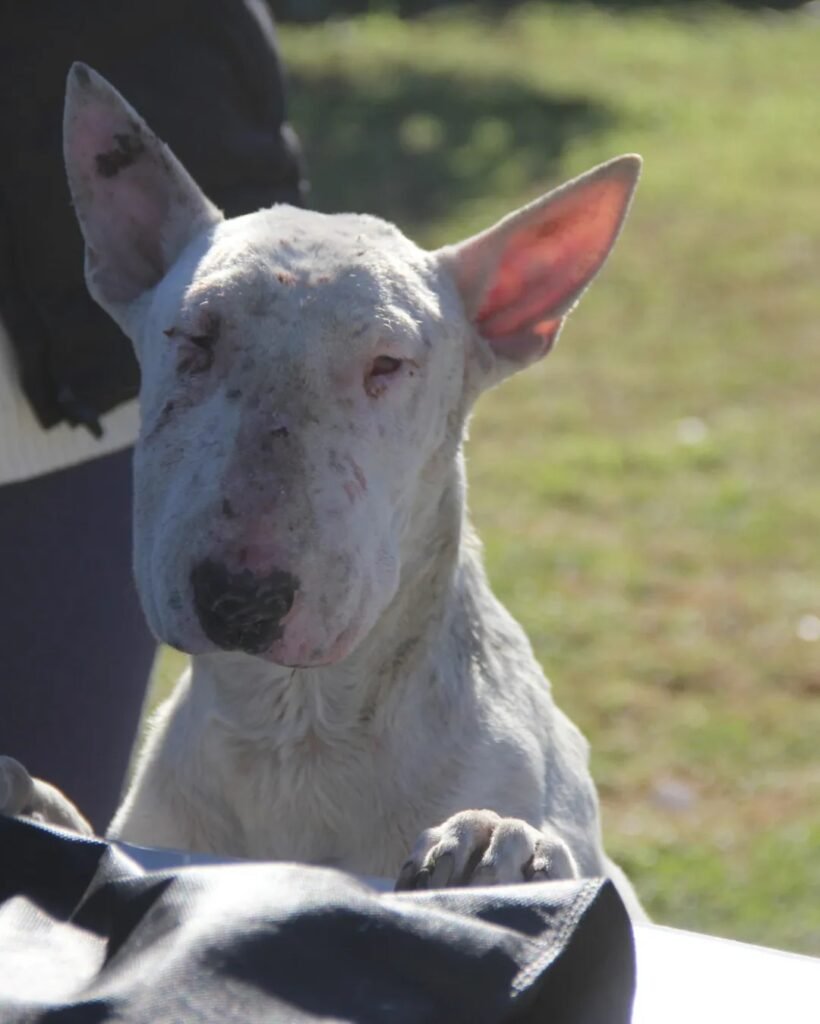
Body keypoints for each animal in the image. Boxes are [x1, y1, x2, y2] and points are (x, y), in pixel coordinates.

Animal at [25, 66, 646, 905]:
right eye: (194, 339)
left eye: (388, 364)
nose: (240, 599)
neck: (298, 732)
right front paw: (28, 796)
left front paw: (496, 846)